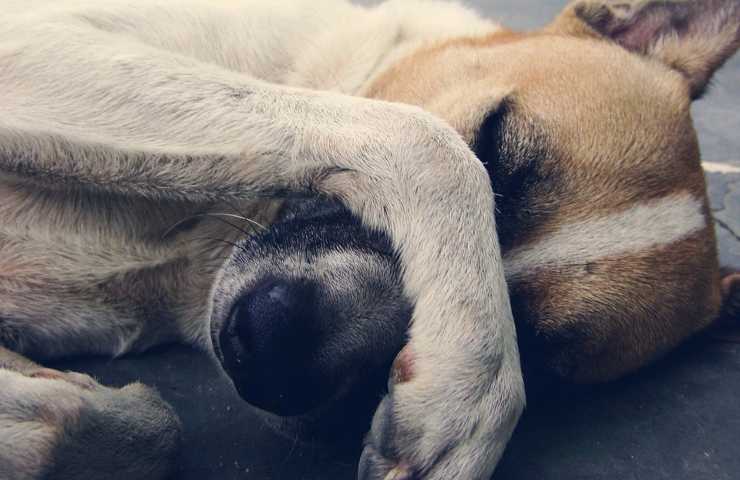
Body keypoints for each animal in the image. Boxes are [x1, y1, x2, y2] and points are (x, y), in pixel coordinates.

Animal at [1, 0, 740, 480]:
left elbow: (155, 429)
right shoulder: (32, 42)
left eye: (539, 350)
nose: (271, 353)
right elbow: (425, 141)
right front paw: (470, 388)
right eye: (494, 143)